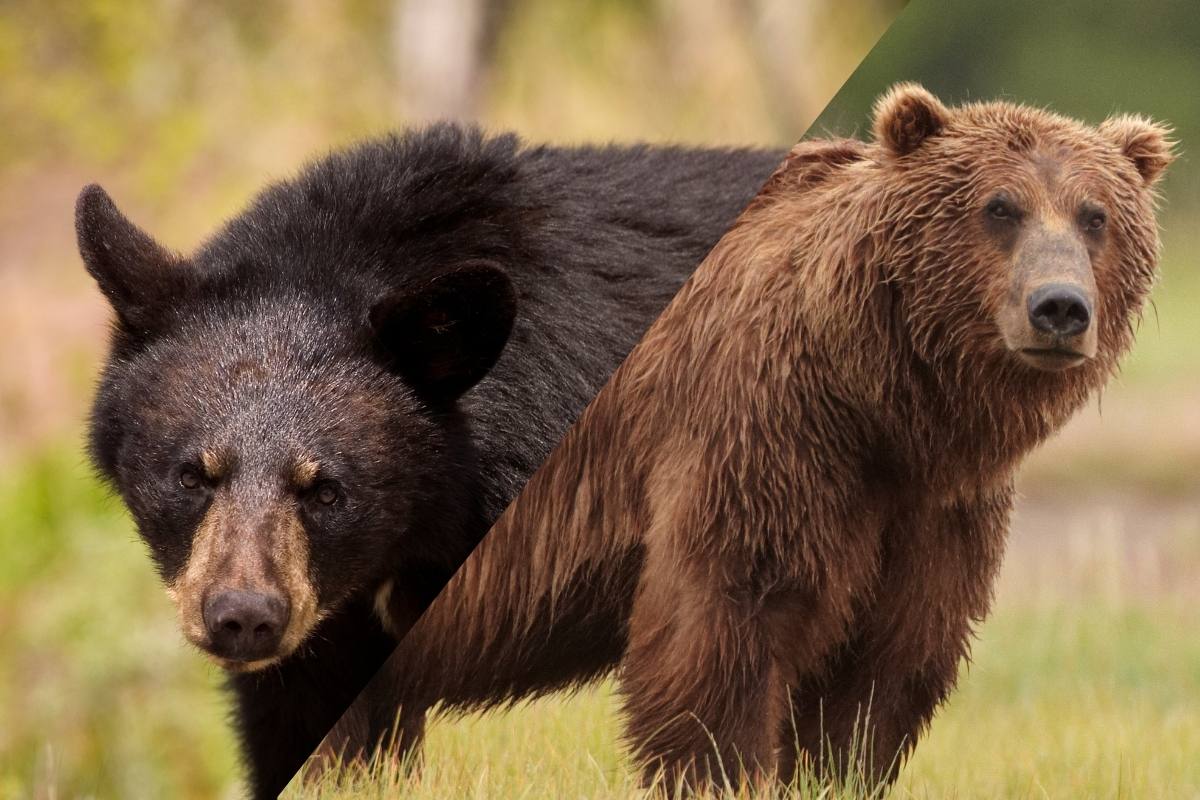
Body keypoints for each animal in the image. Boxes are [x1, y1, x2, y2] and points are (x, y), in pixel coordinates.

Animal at [322, 84, 1174, 794]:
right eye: (1000, 208)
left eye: (1096, 215)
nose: (1059, 308)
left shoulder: (932, 502)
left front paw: (835, 768)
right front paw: (721, 770)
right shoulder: (763, 427)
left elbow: (892, 652)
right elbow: (732, 611)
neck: (883, 398)